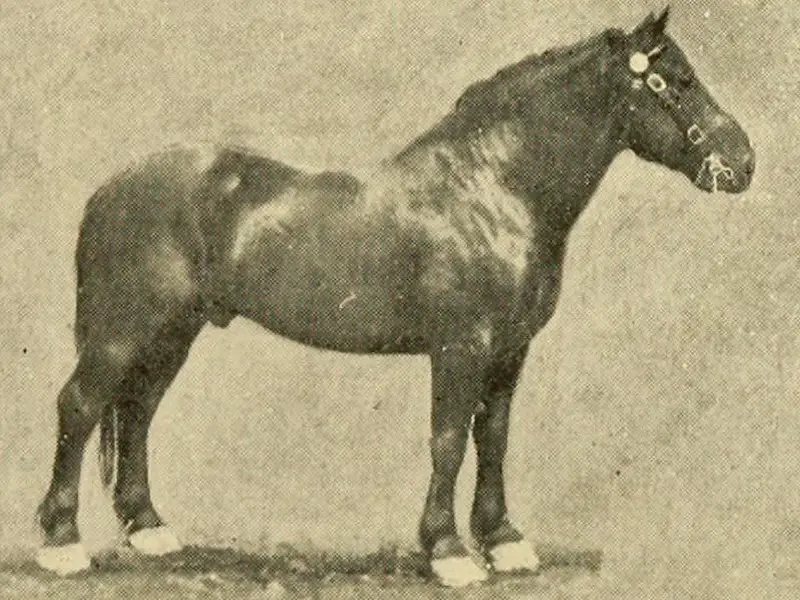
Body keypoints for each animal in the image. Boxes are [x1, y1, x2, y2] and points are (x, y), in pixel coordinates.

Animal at [36, 8, 754, 586]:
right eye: (678, 82)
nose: (744, 161)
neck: (492, 190)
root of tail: (111, 187)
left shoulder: (509, 352)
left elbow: (494, 438)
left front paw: (503, 541)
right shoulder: (460, 349)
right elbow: (448, 441)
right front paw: (448, 552)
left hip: (172, 334)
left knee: (137, 412)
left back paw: (150, 530)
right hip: (121, 332)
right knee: (80, 405)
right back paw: (61, 543)